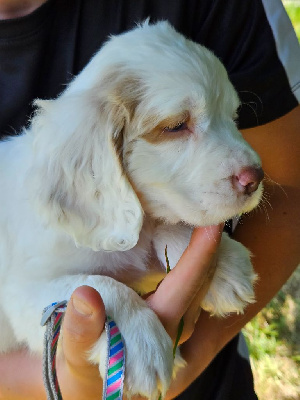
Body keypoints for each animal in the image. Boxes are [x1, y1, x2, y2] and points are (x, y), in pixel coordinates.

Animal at [0, 22, 262, 400]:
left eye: (233, 116)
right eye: (175, 126)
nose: (256, 178)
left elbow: (162, 222)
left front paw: (224, 264)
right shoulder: (20, 292)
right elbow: (95, 285)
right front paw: (139, 342)